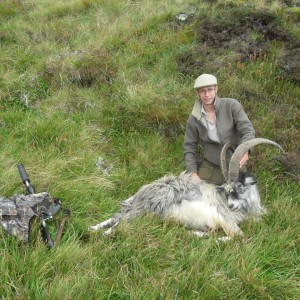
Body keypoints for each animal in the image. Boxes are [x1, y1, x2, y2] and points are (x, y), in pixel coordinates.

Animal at [89, 138, 284, 239]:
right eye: (228, 189)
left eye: (239, 187)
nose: (230, 206)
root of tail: (142, 193)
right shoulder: (225, 220)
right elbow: (239, 236)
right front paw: (210, 237)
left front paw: (197, 233)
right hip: (151, 206)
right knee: (121, 222)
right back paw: (105, 233)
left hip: (142, 210)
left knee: (117, 216)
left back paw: (93, 228)